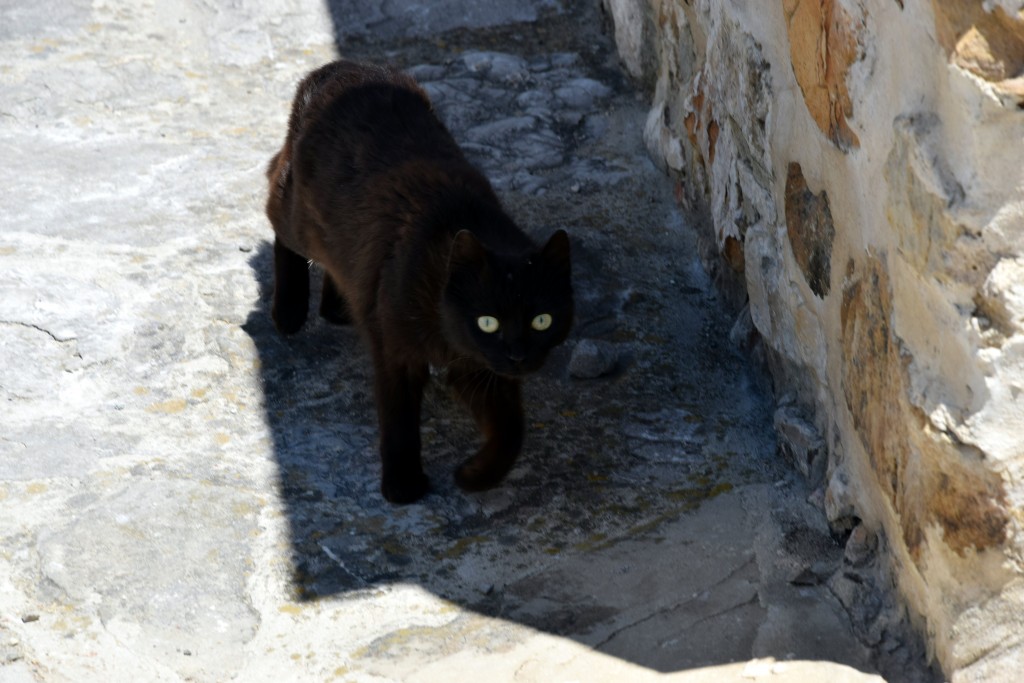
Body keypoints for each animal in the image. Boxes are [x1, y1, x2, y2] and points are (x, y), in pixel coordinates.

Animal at [264, 61, 573, 505]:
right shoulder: (398, 353)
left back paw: (338, 307)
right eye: (488, 322)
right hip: (299, 218)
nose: (518, 355)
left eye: (542, 320)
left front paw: (475, 475)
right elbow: (399, 419)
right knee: (275, 196)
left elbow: (512, 429)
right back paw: (289, 310)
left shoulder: (478, 366)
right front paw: (403, 484)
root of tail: (337, 69)